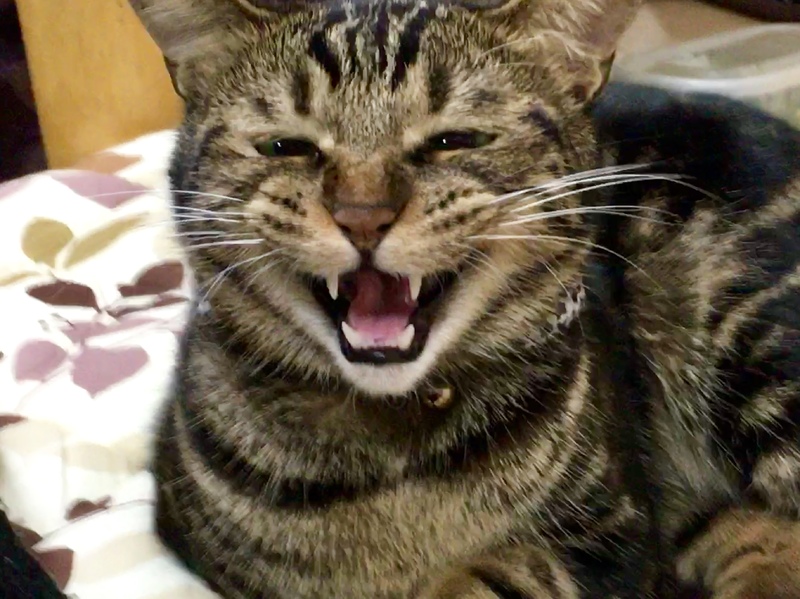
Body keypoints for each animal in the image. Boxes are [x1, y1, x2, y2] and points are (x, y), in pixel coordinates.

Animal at [129, 0, 800, 597]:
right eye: (286, 146)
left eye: (454, 140)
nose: (363, 216)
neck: (394, 451)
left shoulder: (617, 536)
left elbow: (495, 574)